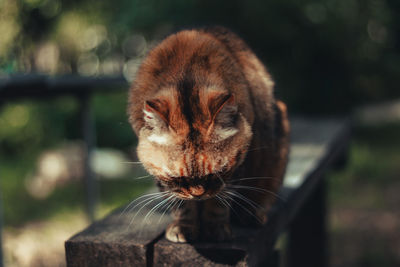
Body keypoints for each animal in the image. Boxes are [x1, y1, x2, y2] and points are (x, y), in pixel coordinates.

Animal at [127, 26, 288, 243]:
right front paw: (183, 228)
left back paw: (251, 214)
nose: (198, 194)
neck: (186, 78)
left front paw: (216, 228)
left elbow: (219, 202)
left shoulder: (237, 166)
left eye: (217, 172)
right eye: (177, 177)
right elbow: (180, 204)